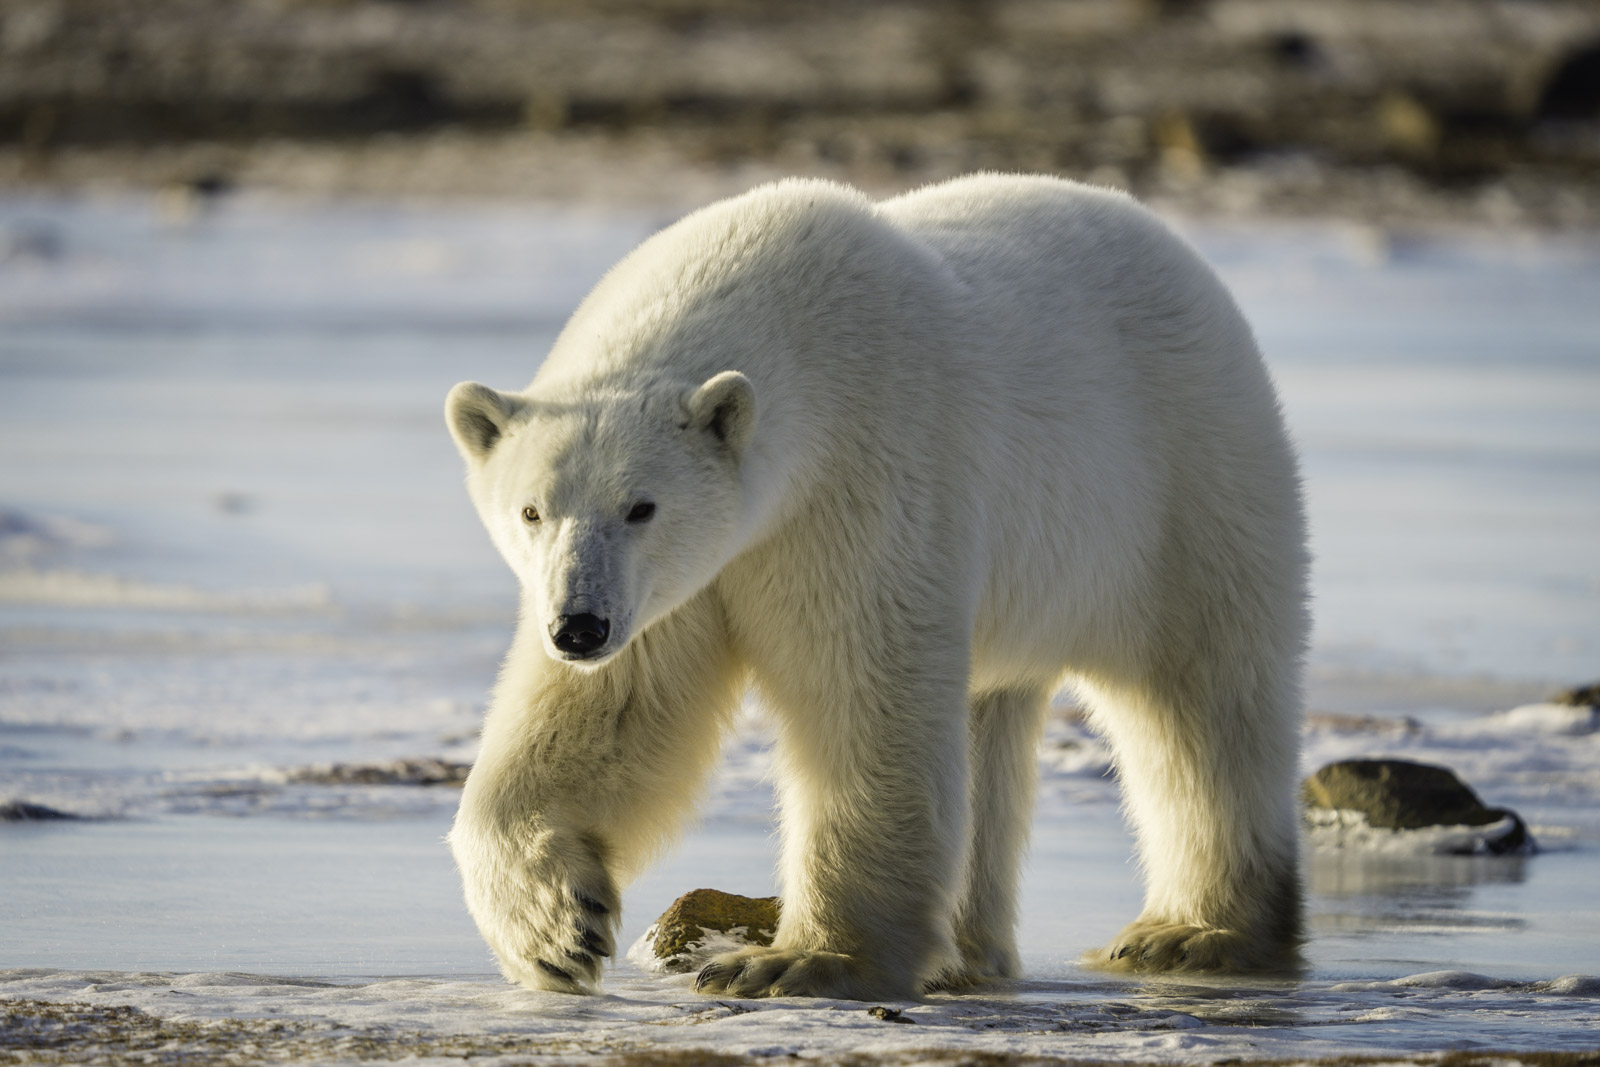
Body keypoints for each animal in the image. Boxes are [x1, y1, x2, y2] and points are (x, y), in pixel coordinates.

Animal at [444, 173, 1308, 1000]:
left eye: (641, 505)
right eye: (531, 509)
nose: (577, 627)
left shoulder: (862, 474)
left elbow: (861, 693)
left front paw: (799, 961)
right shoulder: (675, 587)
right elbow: (610, 714)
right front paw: (557, 929)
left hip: (1179, 484)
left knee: (1200, 702)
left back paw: (1191, 933)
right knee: (990, 717)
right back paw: (970, 953)